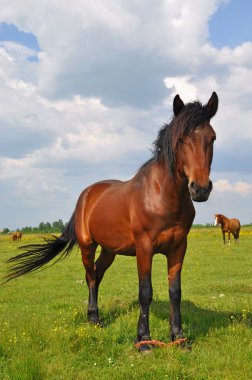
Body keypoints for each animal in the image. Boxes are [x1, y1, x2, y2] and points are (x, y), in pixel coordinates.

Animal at [4, 91, 219, 350]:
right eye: (181, 139)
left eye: (212, 138)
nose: (200, 189)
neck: (162, 196)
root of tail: (87, 194)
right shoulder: (144, 248)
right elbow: (145, 292)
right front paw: (144, 341)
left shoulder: (178, 248)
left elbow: (175, 291)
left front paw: (179, 337)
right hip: (87, 246)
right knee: (90, 276)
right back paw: (94, 319)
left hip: (109, 251)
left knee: (97, 275)